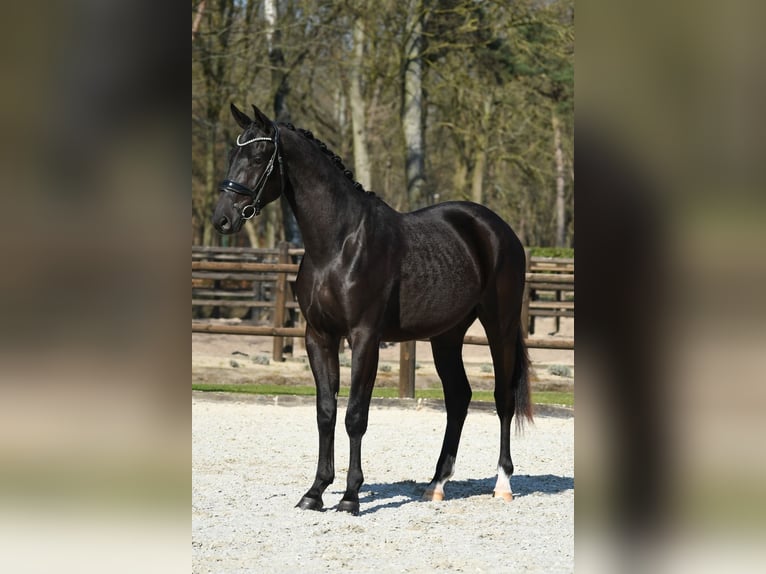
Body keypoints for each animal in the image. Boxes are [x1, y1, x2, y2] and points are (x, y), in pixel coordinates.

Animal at [212, 103, 532, 515]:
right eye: (231, 156)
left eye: (258, 155)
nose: (222, 218)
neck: (339, 244)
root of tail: (499, 229)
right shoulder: (319, 336)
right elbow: (326, 412)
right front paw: (315, 492)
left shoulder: (364, 337)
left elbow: (355, 415)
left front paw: (350, 497)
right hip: (447, 335)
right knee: (458, 397)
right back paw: (436, 484)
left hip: (499, 325)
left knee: (502, 398)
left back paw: (502, 484)